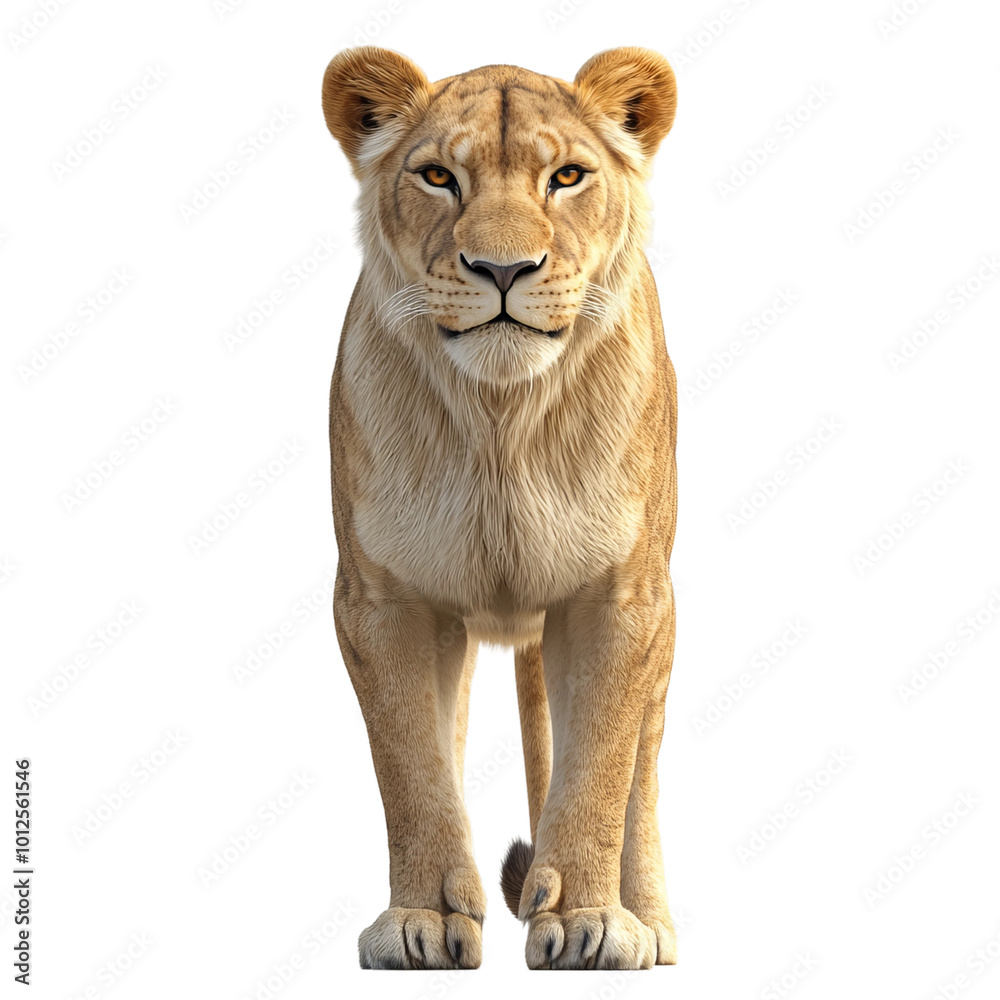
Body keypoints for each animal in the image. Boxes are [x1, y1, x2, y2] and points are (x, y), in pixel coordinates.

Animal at [322, 45, 679, 971]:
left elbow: (599, 769)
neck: (500, 420)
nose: (504, 270)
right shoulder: (380, 601)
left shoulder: (622, 598)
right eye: (439, 176)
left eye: (567, 177)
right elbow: (412, 768)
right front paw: (421, 919)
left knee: (642, 771)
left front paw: (591, 920)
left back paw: (650, 919)